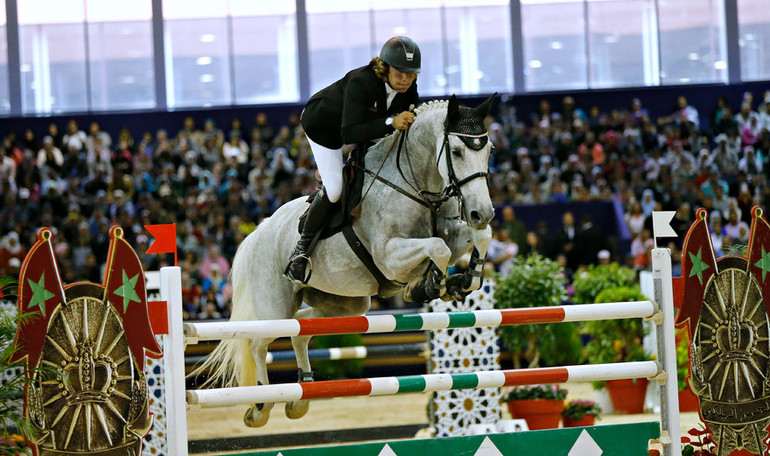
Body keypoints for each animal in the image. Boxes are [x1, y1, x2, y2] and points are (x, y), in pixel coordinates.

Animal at [200, 95, 492, 428]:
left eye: (489, 150)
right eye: (456, 151)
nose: (482, 212)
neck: (415, 185)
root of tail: (260, 230)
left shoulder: (454, 234)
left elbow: (476, 237)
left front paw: (464, 279)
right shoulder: (389, 256)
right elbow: (438, 248)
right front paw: (428, 286)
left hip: (343, 304)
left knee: (301, 328)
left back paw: (301, 397)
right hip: (275, 307)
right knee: (258, 343)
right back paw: (260, 407)